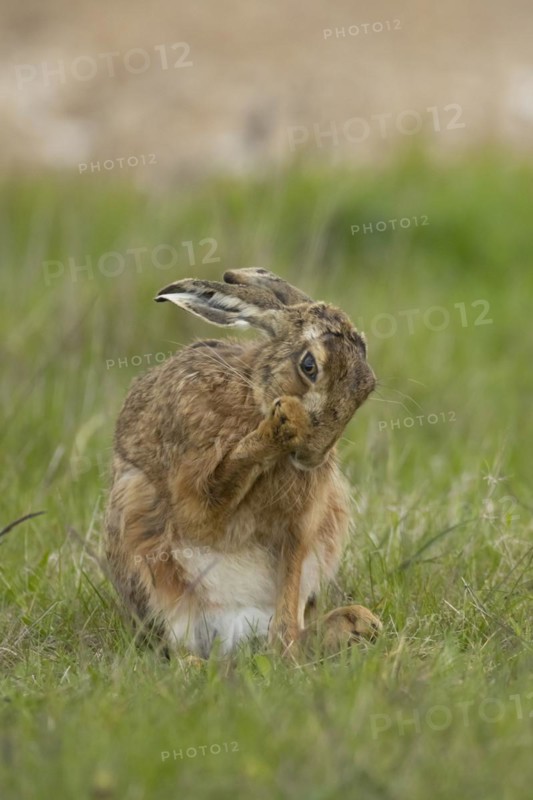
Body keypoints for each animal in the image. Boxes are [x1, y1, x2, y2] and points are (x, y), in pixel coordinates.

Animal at [105, 268, 381, 658]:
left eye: (367, 386)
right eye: (309, 366)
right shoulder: (194, 491)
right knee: (176, 646)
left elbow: (289, 583)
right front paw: (284, 421)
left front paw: (286, 651)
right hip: (141, 543)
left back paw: (353, 624)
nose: (312, 455)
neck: (254, 394)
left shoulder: (301, 526)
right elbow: (206, 506)